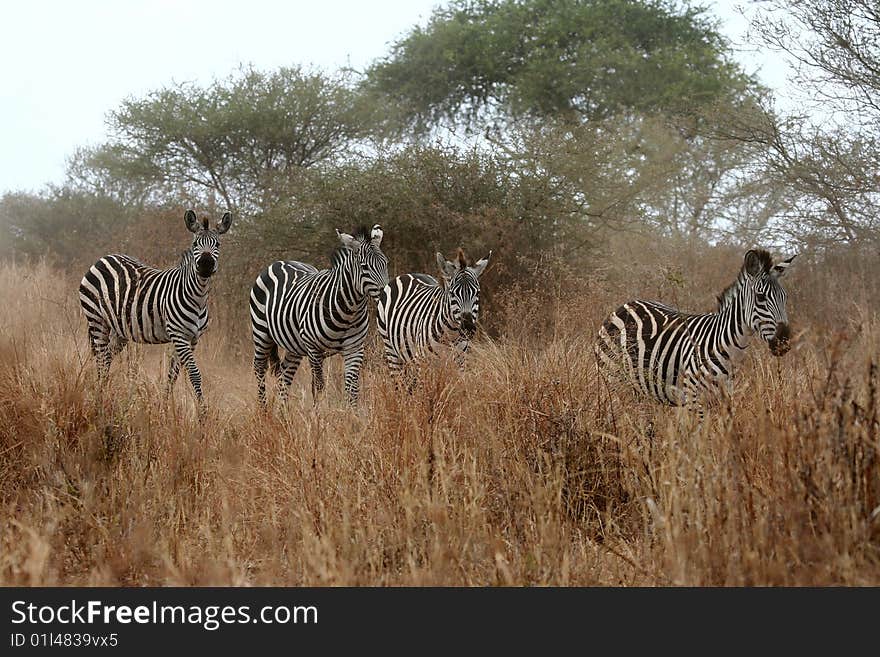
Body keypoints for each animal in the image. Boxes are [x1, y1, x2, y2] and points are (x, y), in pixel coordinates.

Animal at [78, 210, 232, 404]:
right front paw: (202, 411)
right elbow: (194, 374)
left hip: (119, 330)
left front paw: (165, 405)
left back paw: (102, 391)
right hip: (96, 319)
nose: (205, 265)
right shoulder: (179, 335)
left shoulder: (193, 339)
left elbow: (173, 374)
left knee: (106, 358)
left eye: (218, 244)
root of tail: (103, 258)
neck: (198, 298)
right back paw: (99, 397)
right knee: (100, 359)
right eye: (195, 244)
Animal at [248, 228, 384, 408]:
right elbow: (319, 387)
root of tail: (278, 262)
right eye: (364, 267)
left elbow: (352, 389)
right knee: (259, 368)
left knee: (285, 374)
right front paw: (321, 413)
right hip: (261, 333)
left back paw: (283, 413)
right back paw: (264, 411)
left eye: (386, 263)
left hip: (294, 345)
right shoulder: (314, 349)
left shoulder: (354, 348)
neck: (348, 312)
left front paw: (352, 415)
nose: (385, 294)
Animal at [596, 249, 796, 408]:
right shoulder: (694, 400)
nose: (784, 341)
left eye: (785, 297)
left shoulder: (722, 400)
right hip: (613, 380)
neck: (729, 349)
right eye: (761, 297)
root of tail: (626, 305)